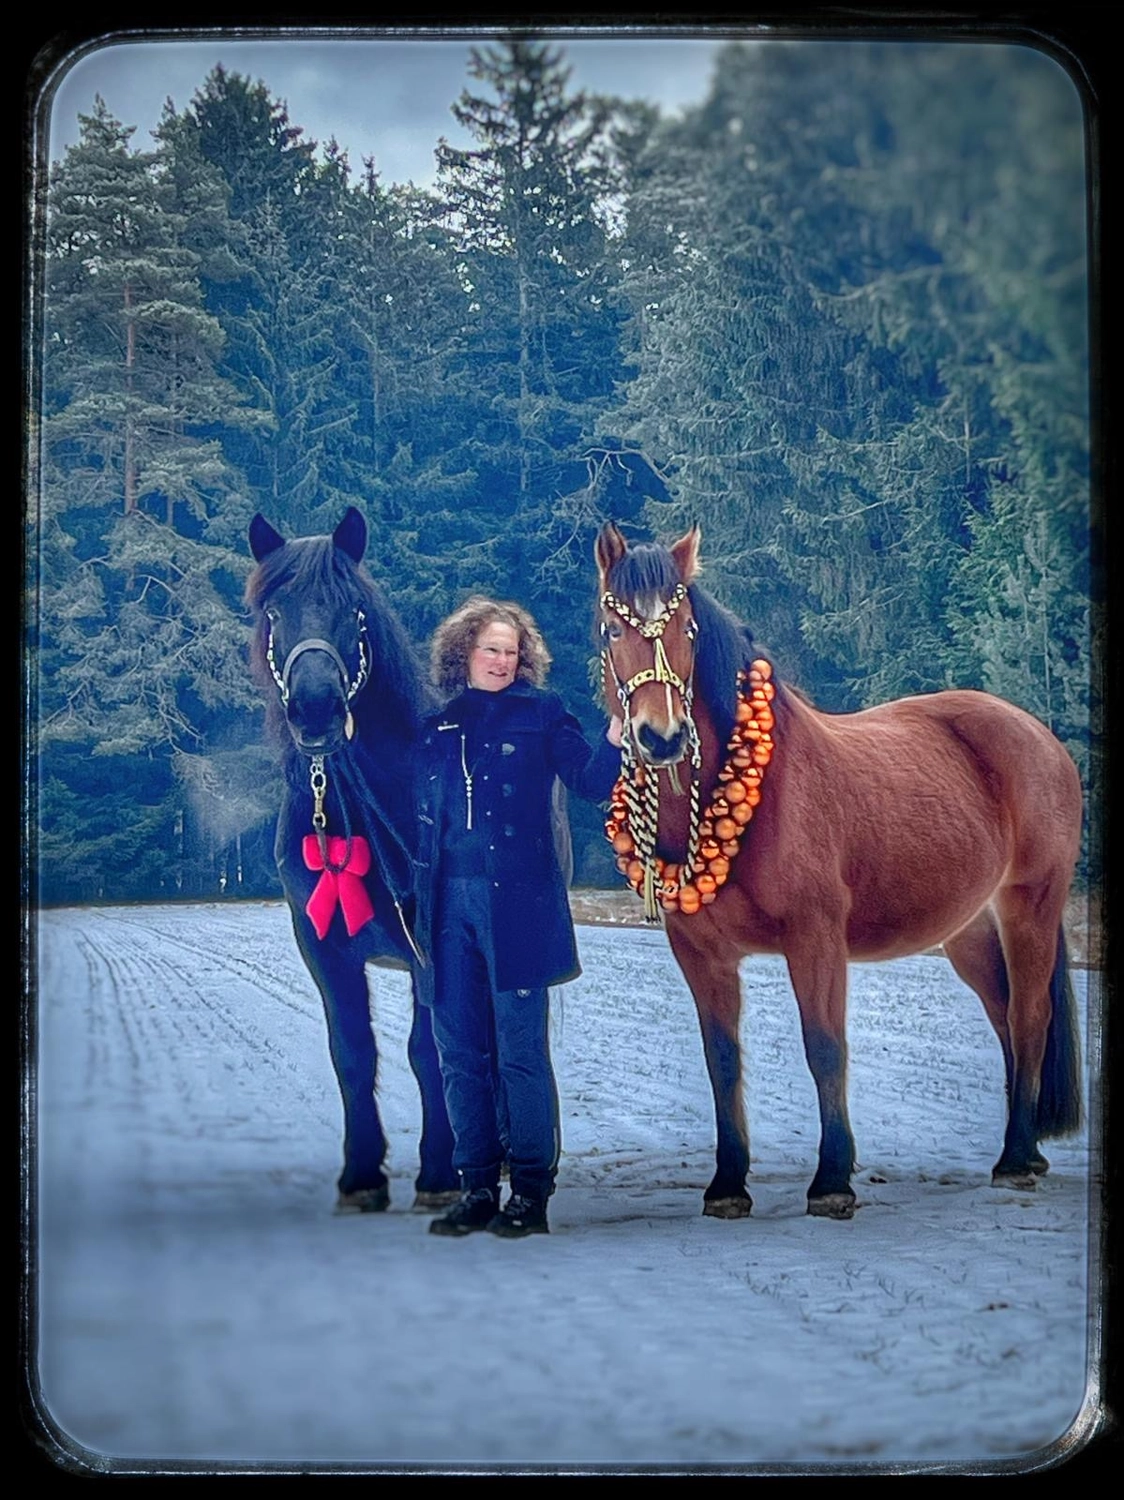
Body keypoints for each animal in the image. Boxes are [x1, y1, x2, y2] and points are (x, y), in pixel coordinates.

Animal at [245, 506, 458, 1214]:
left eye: (351, 608)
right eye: (274, 610)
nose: (315, 708)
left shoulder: (430, 947)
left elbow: (429, 1051)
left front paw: (440, 1174)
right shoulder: (322, 945)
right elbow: (352, 1052)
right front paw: (362, 1175)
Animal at [594, 521, 1084, 1220]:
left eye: (687, 627)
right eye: (612, 629)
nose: (660, 736)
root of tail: (1036, 734)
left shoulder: (815, 938)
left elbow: (825, 1048)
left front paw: (832, 1180)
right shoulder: (700, 952)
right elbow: (722, 1060)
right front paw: (727, 1184)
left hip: (1030, 904)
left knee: (1029, 1017)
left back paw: (1016, 1160)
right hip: (968, 929)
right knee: (1004, 1018)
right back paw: (1030, 1150)